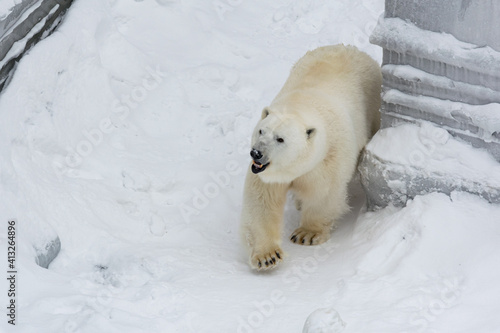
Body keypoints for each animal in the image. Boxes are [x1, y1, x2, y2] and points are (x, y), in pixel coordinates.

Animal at [240, 44, 380, 268]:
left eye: (280, 139)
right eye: (261, 131)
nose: (257, 153)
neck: (300, 105)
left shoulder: (327, 158)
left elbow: (322, 193)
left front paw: (306, 234)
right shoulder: (265, 174)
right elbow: (262, 202)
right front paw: (267, 256)